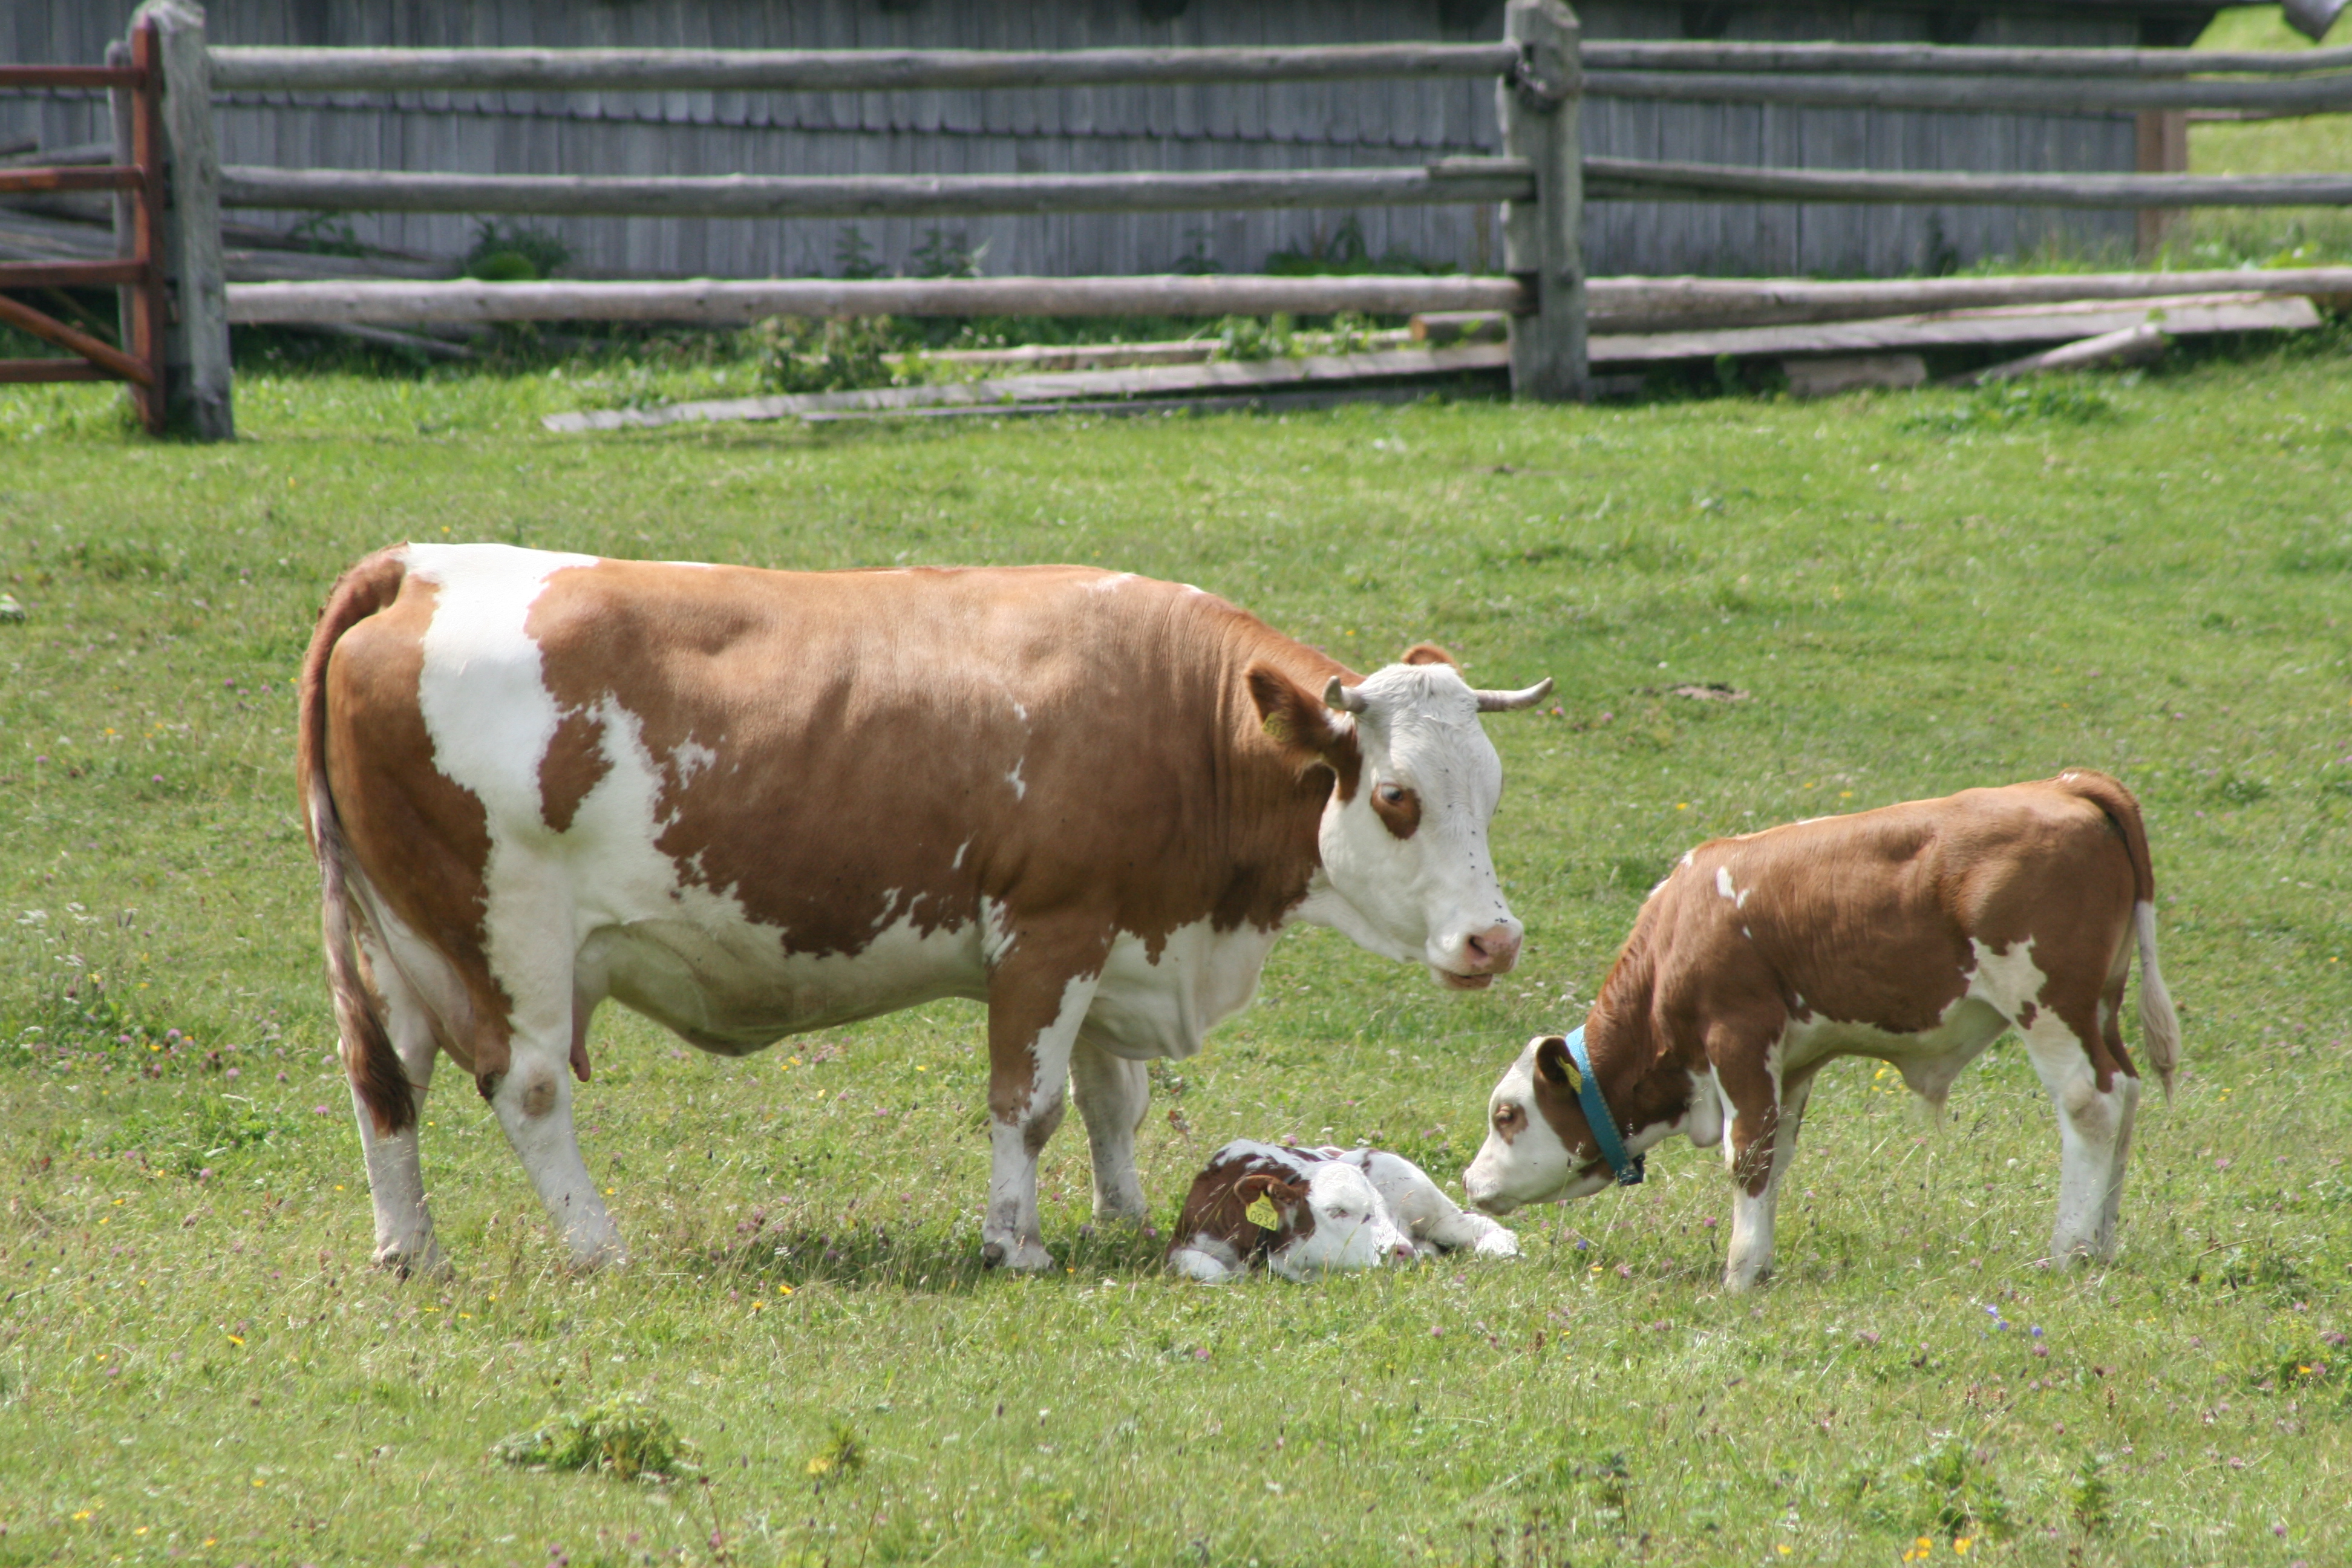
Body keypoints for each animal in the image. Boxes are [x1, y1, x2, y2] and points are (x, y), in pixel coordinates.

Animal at [1166, 1140, 1520, 1283]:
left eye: (1382, 1211)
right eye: (1336, 1211)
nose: (1401, 1250)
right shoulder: (1181, 1243)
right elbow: (1211, 1271)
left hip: (1423, 1198)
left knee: (1480, 1225)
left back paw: (1497, 1248)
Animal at [1461, 772, 2181, 1292]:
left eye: (1507, 1115)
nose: (1470, 1182)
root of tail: (2066, 785)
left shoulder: (1737, 1036)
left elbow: (1746, 1156)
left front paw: (1738, 1278)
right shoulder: (1793, 1062)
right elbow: (1775, 1154)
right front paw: (1760, 1262)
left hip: (2046, 1002)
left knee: (2091, 1104)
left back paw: (2071, 1250)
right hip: (2099, 1007)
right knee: (2126, 1095)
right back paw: (2103, 1242)